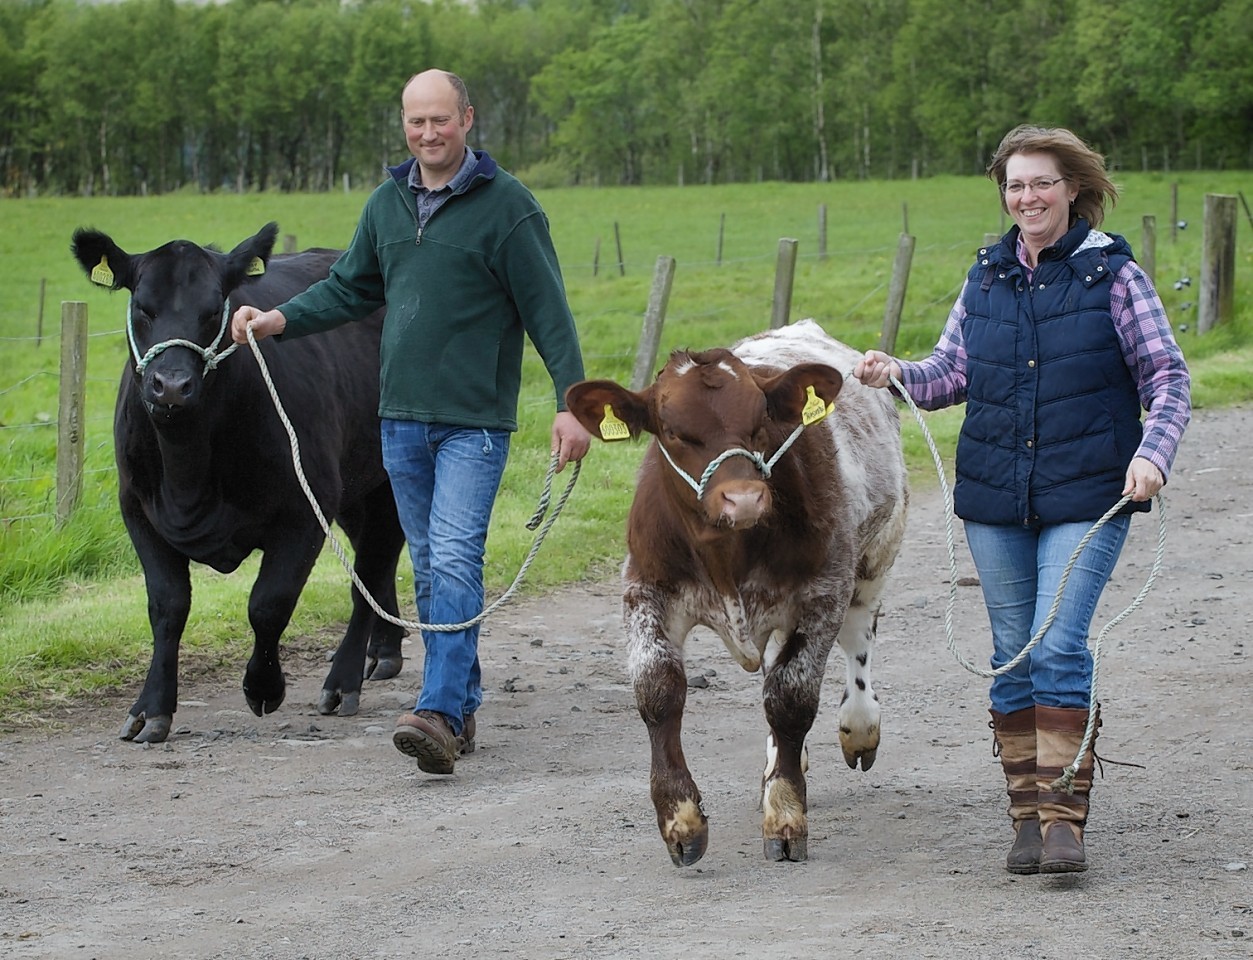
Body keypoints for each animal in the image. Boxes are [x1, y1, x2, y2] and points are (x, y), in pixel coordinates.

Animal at [72, 223, 405, 741]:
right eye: (142, 306)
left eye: (214, 309)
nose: (171, 385)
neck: (188, 474)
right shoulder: (138, 509)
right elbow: (167, 606)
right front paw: (151, 708)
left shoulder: (306, 506)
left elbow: (268, 604)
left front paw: (263, 686)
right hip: (357, 488)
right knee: (375, 566)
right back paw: (383, 650)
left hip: (389, 474)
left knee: (373, 564)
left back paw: (344, 679)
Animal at [568, 320, 912, 872]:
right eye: (672, 431)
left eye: (760, 422)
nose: (744, 499)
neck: (727, 554)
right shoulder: (644, 587)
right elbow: (659, 690)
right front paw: (681, 819)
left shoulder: (824, 592)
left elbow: (791, 697)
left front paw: (785, 814)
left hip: (877, 555)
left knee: (857, 639)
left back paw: (858, 726)